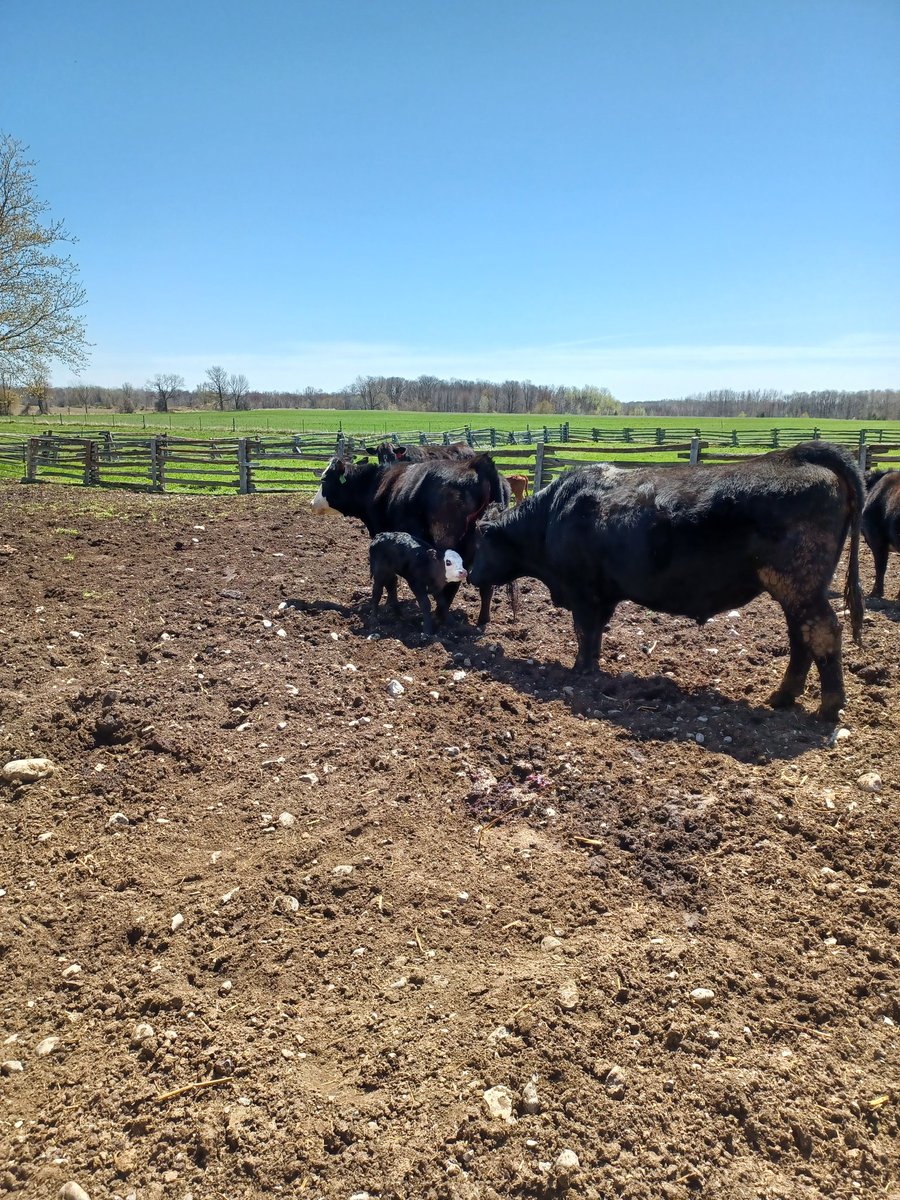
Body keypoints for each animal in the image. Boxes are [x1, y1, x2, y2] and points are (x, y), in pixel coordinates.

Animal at [312, 453, 512, 626]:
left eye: (323, 480)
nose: (312, 503)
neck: (376, 484)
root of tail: (477, 464)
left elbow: (390, 580)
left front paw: (392, 607)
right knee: (486, 586)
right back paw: (482, 620)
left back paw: (440, 616)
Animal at [468, 442, 864, 721]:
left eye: (481, 542)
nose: (471, 574)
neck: (554, 514)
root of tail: (797, 455)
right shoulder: (601, 595)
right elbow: (594, 634)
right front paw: (592, 669)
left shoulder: (582, 591)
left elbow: (583, 632)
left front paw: (579, 671)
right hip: (794, 591)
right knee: (801, 637)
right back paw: (783, 697)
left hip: (799, 585)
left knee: (822, 633)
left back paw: (829, 707)